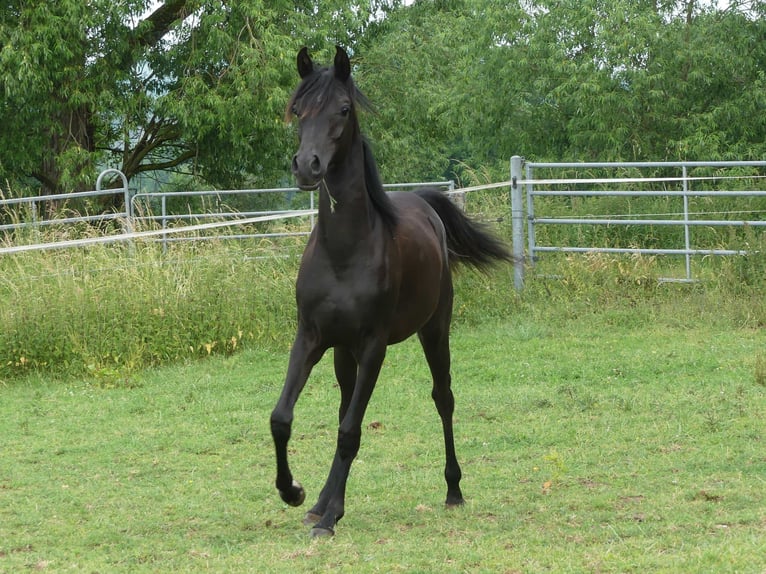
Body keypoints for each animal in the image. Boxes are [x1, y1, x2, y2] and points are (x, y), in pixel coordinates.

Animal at [272, 47, 516, 536]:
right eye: (298, 110)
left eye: (343, 110)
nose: (307, 166)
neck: (344, 252)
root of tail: (424, 202)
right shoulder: (310, 338)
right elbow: (284, 418)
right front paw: (297, 494)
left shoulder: (374, 346)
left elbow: (351, 432)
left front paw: (331, 516)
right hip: (341, 352)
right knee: (344, 407)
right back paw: (320, 501)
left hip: (434, 330)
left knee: (443, 399)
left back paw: (453, 490)